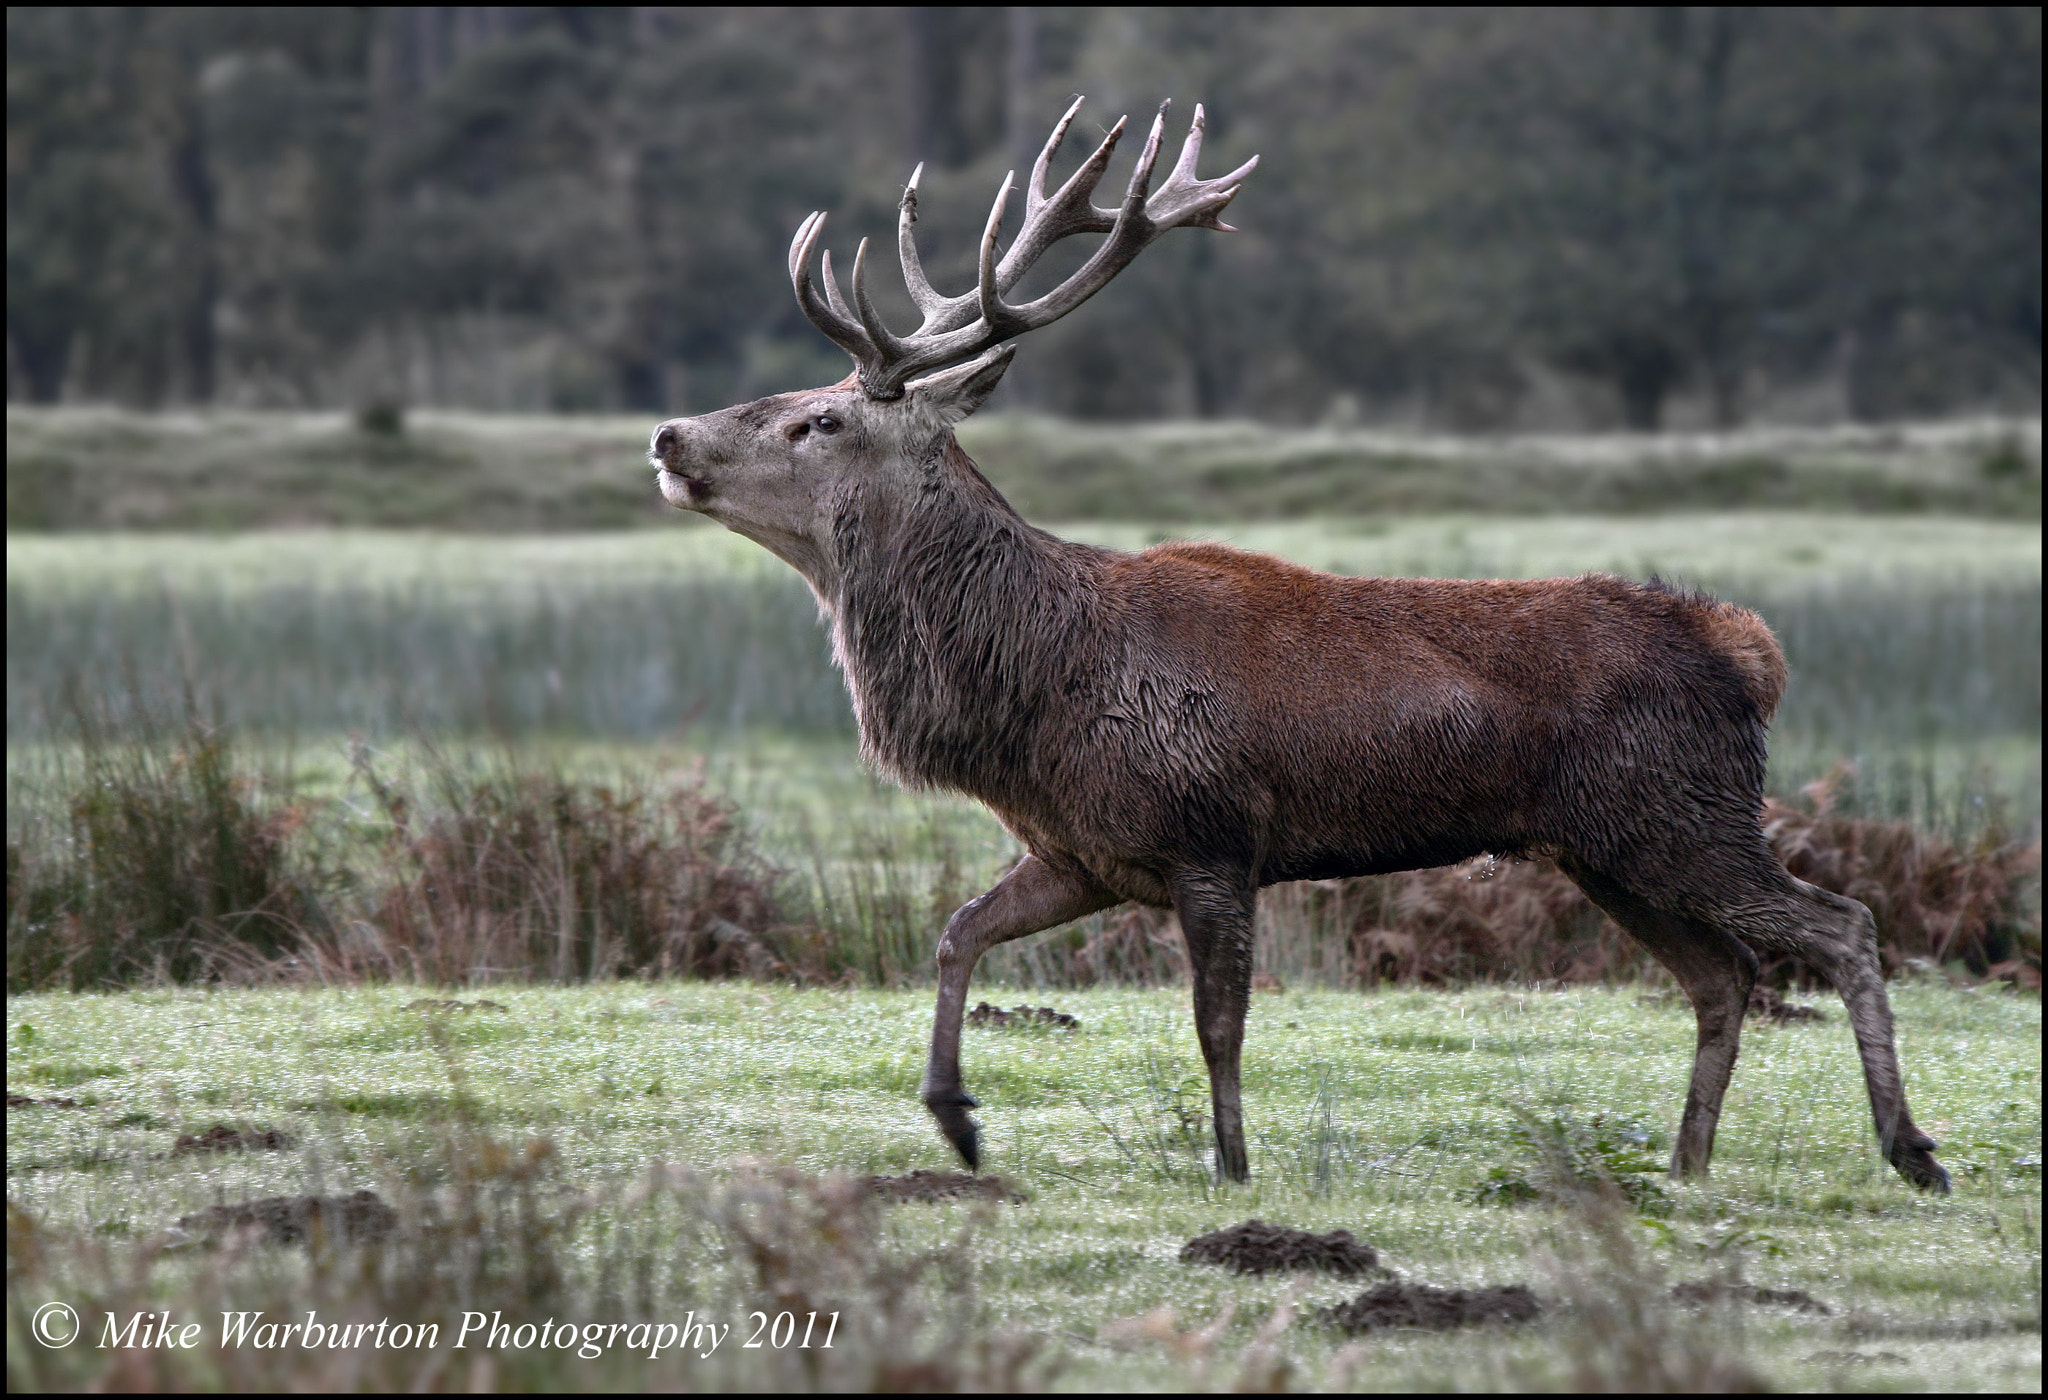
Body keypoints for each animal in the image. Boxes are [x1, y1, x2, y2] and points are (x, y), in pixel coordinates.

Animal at [648, 98, 1950, 1193]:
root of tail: (1749, 650)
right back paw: (1685, 1163)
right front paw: (956, 1120)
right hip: (1607, 846)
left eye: (818, 419)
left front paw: (1230, 1166)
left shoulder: (1212, 831)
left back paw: (1907, 1148)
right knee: (1722, 973)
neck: (1034, 689)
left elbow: (1217, 1019)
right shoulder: (1082, 848)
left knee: (1840, 923)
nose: (667, 434)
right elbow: (956, 928)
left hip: (1682, 810)